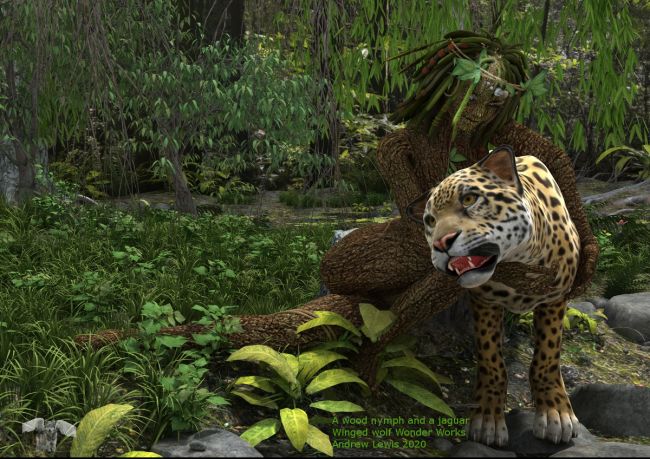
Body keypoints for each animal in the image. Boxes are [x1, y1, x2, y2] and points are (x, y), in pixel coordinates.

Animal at [422, 145, 582, 447]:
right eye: (430, 220)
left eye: (470, 199)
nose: (440, 243)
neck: (521, 261)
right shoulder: (484, 302)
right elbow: (491, 359)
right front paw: (487, 419)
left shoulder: (555, 298)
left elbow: (547, 355)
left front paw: (555, 413)